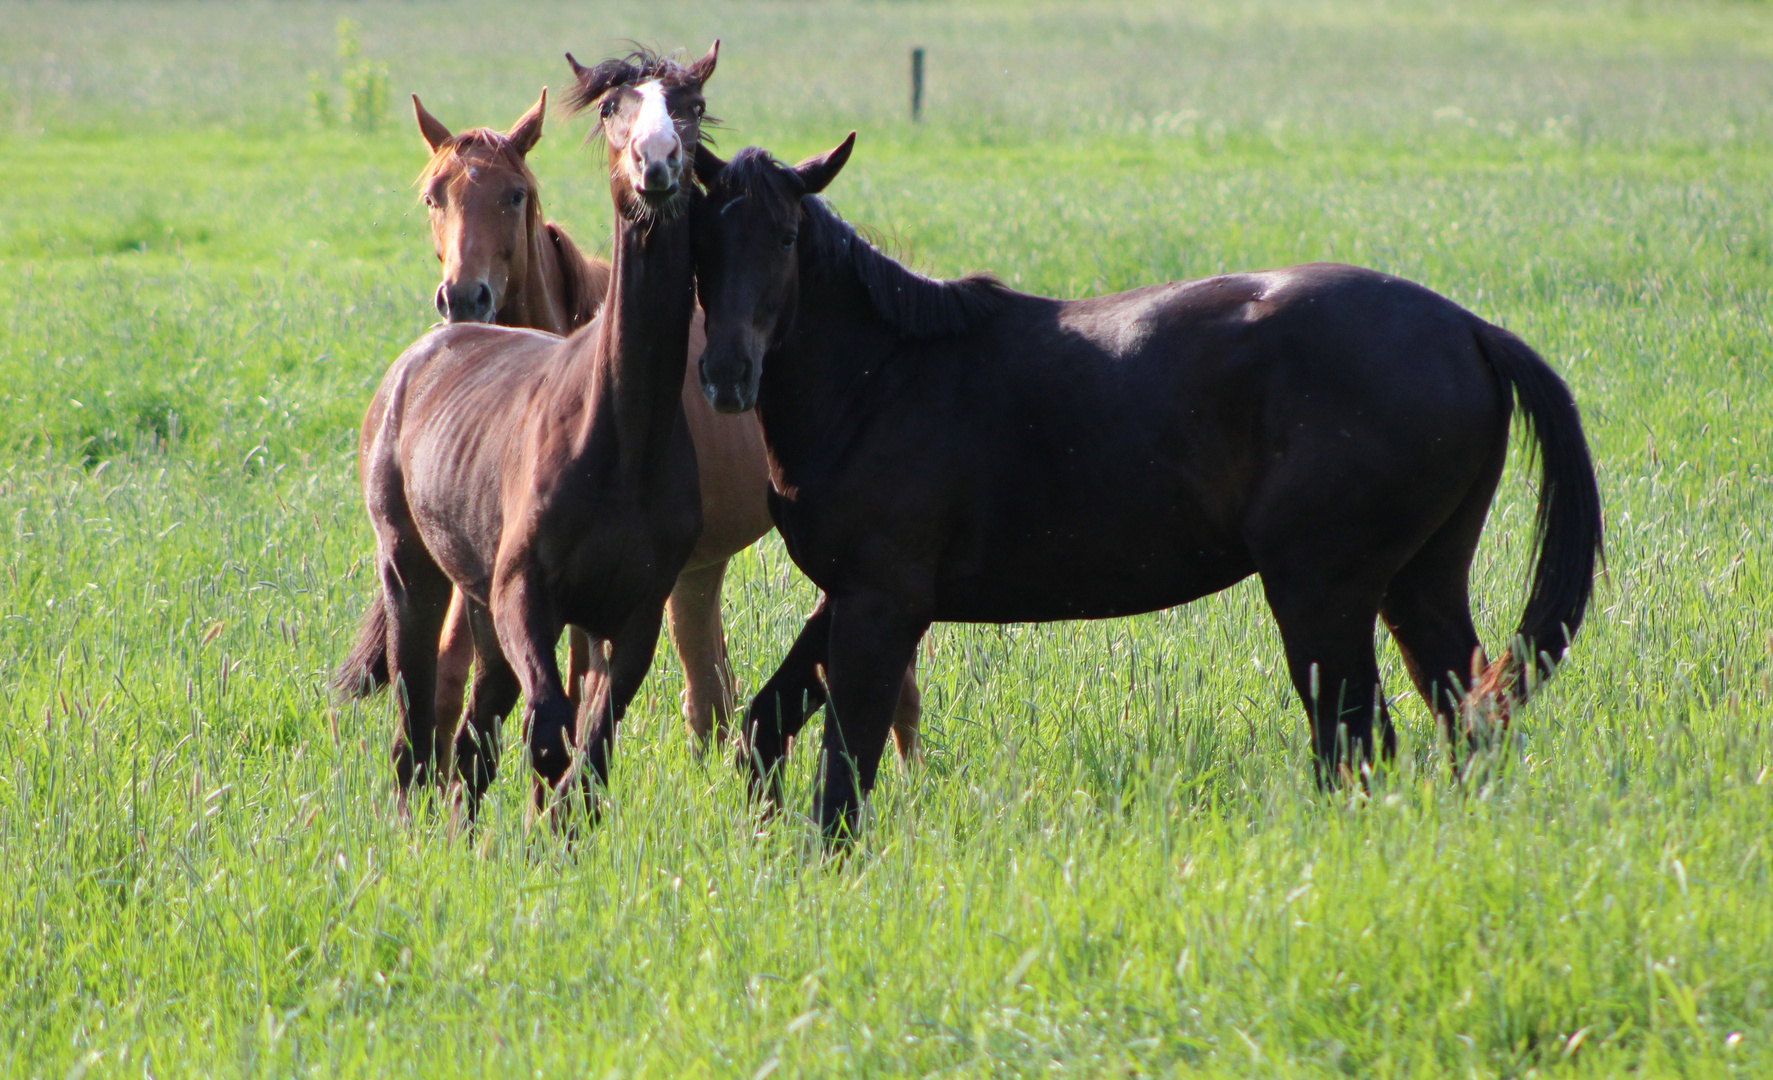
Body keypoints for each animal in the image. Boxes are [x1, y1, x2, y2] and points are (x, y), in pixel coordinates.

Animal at [336, 88, 936, 759]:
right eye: (434, 196)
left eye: (515, 194)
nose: (466, 298)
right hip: (698, 571)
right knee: (709, 690)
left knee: (892, 690)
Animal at [338, 44, 712, 815]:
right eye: (613, 107)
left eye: (692, 106)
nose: (656, 164)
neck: (620, 441)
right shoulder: (523, 597)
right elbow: (548, 734)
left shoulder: (632, 616)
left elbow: (585, 754)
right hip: (414, 573)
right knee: (418, 729)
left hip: (476, 595)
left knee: (471, 733)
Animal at [691, 136, 1609, 844]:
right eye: (705, 239)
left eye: (784, 237)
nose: (726, 374)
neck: (883, 379)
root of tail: (1467, 329)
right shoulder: (844, 597)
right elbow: (762, 732)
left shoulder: (882, 604)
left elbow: (844, 771)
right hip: (1417, 582)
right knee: (1463, 720)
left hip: (1323, 591)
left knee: (1354, 741)